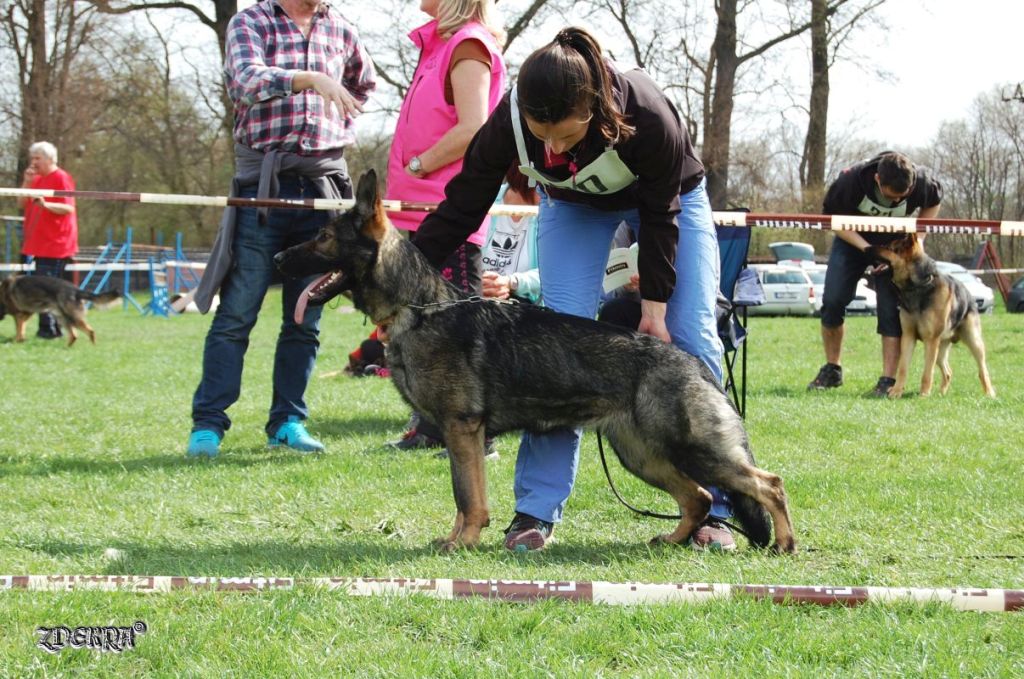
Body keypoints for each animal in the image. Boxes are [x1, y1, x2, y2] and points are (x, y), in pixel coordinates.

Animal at [274, 168, 798, 553]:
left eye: (323, 236)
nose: (278, 260)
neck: (419, 308)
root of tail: (694, 364)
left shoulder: (462, 431)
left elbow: (468, 496)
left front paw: (463, 543)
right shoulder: (460, 436)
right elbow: (465, 496)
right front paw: (458, 538)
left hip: (693, 449)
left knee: (768, 483)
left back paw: (784, 544)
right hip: (642, 456)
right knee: (699, 497)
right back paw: (672, 539)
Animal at [868, 236, 995, 401]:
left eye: (889, 248)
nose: (866, 248)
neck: (918, 287)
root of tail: (968, 295)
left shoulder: (930, 340)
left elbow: (927, 372)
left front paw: (923, 395)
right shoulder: (908, 337)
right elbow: (902, 368)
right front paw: (896, 391)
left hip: (973, 342)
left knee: (982, 369)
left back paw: (990, 393)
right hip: (940, 350)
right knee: (948, 372)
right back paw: (941, 394)